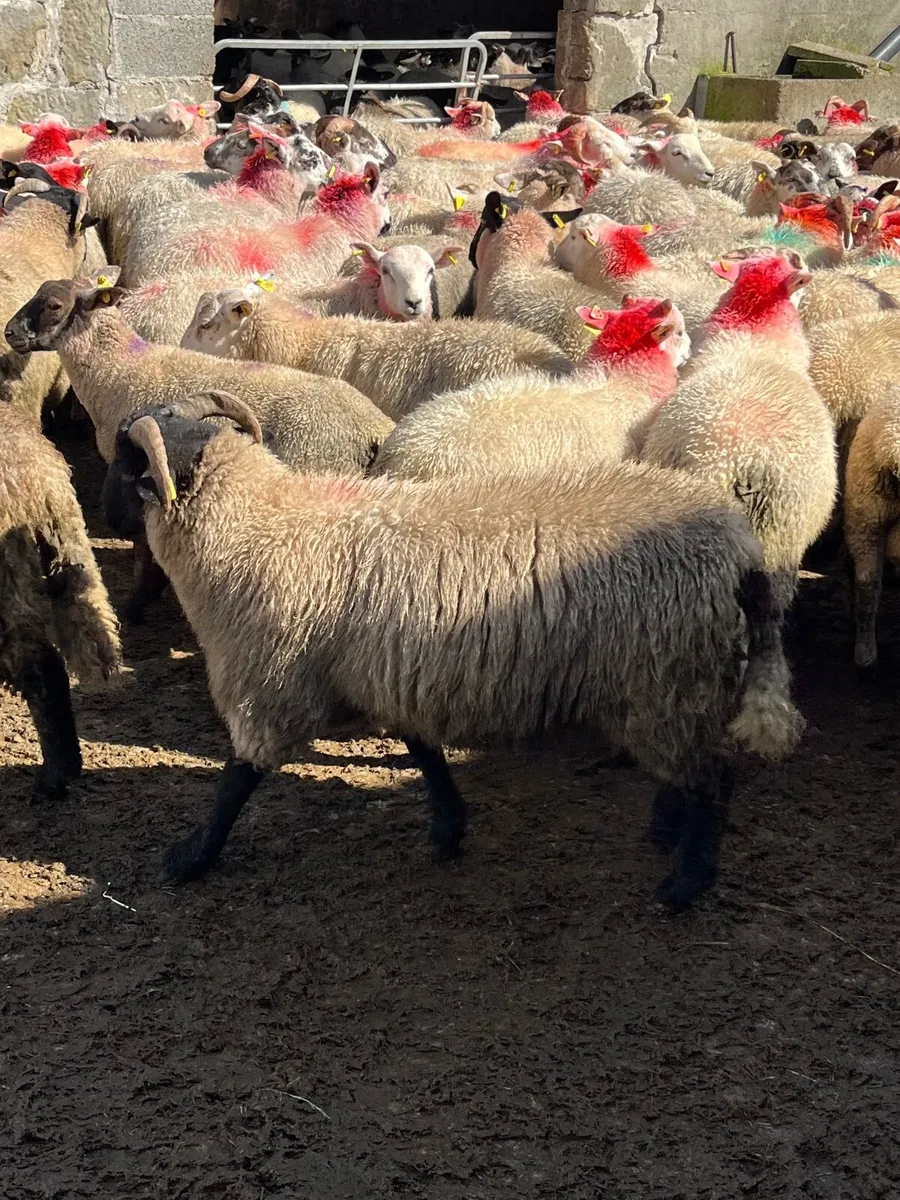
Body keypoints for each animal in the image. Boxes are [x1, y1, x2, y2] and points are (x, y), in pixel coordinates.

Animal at [102, 392, 803, 910]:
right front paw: (448, 828)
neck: (259, 526)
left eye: (127, 464)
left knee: (715, 777)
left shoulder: (271, 682)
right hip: (678, 680)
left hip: (667, 676)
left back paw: (685, 883)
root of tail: (740, 549)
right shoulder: (394, 671)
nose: (106, 516)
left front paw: (192, 855)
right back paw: (667, 831)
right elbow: (424, 752)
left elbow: (237, 780)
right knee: (697, 768)